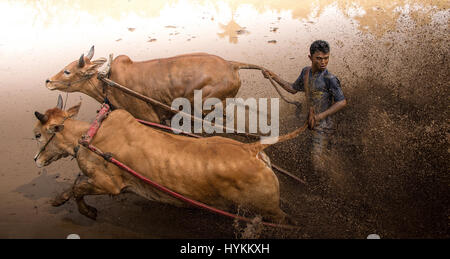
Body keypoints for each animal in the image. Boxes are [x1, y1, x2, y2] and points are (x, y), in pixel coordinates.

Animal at [33, 97, 312, 223]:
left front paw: (72, 205)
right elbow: (77, 185)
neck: (90, 134)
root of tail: (252, 148)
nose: (36, 159)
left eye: (37, 134)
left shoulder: (108, 184)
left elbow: (76, 188)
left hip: (269, 210)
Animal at [45, 46, 272, 125]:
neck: (107, 82)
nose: (48, 81)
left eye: (67, 71)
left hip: (205, 104)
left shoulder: (149, 117)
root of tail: (231, 65)